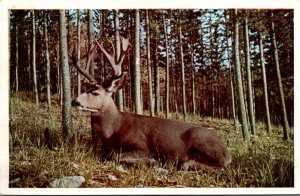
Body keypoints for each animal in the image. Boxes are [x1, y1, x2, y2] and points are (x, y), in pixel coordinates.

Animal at [71, 36, 231, 170]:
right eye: (85, 88)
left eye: (95, 93)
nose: (74, 101)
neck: (113, 130)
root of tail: (227, 152)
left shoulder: (141, 145)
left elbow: (115, 155)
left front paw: (154, 161)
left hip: (204, 144)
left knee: (220, 166)